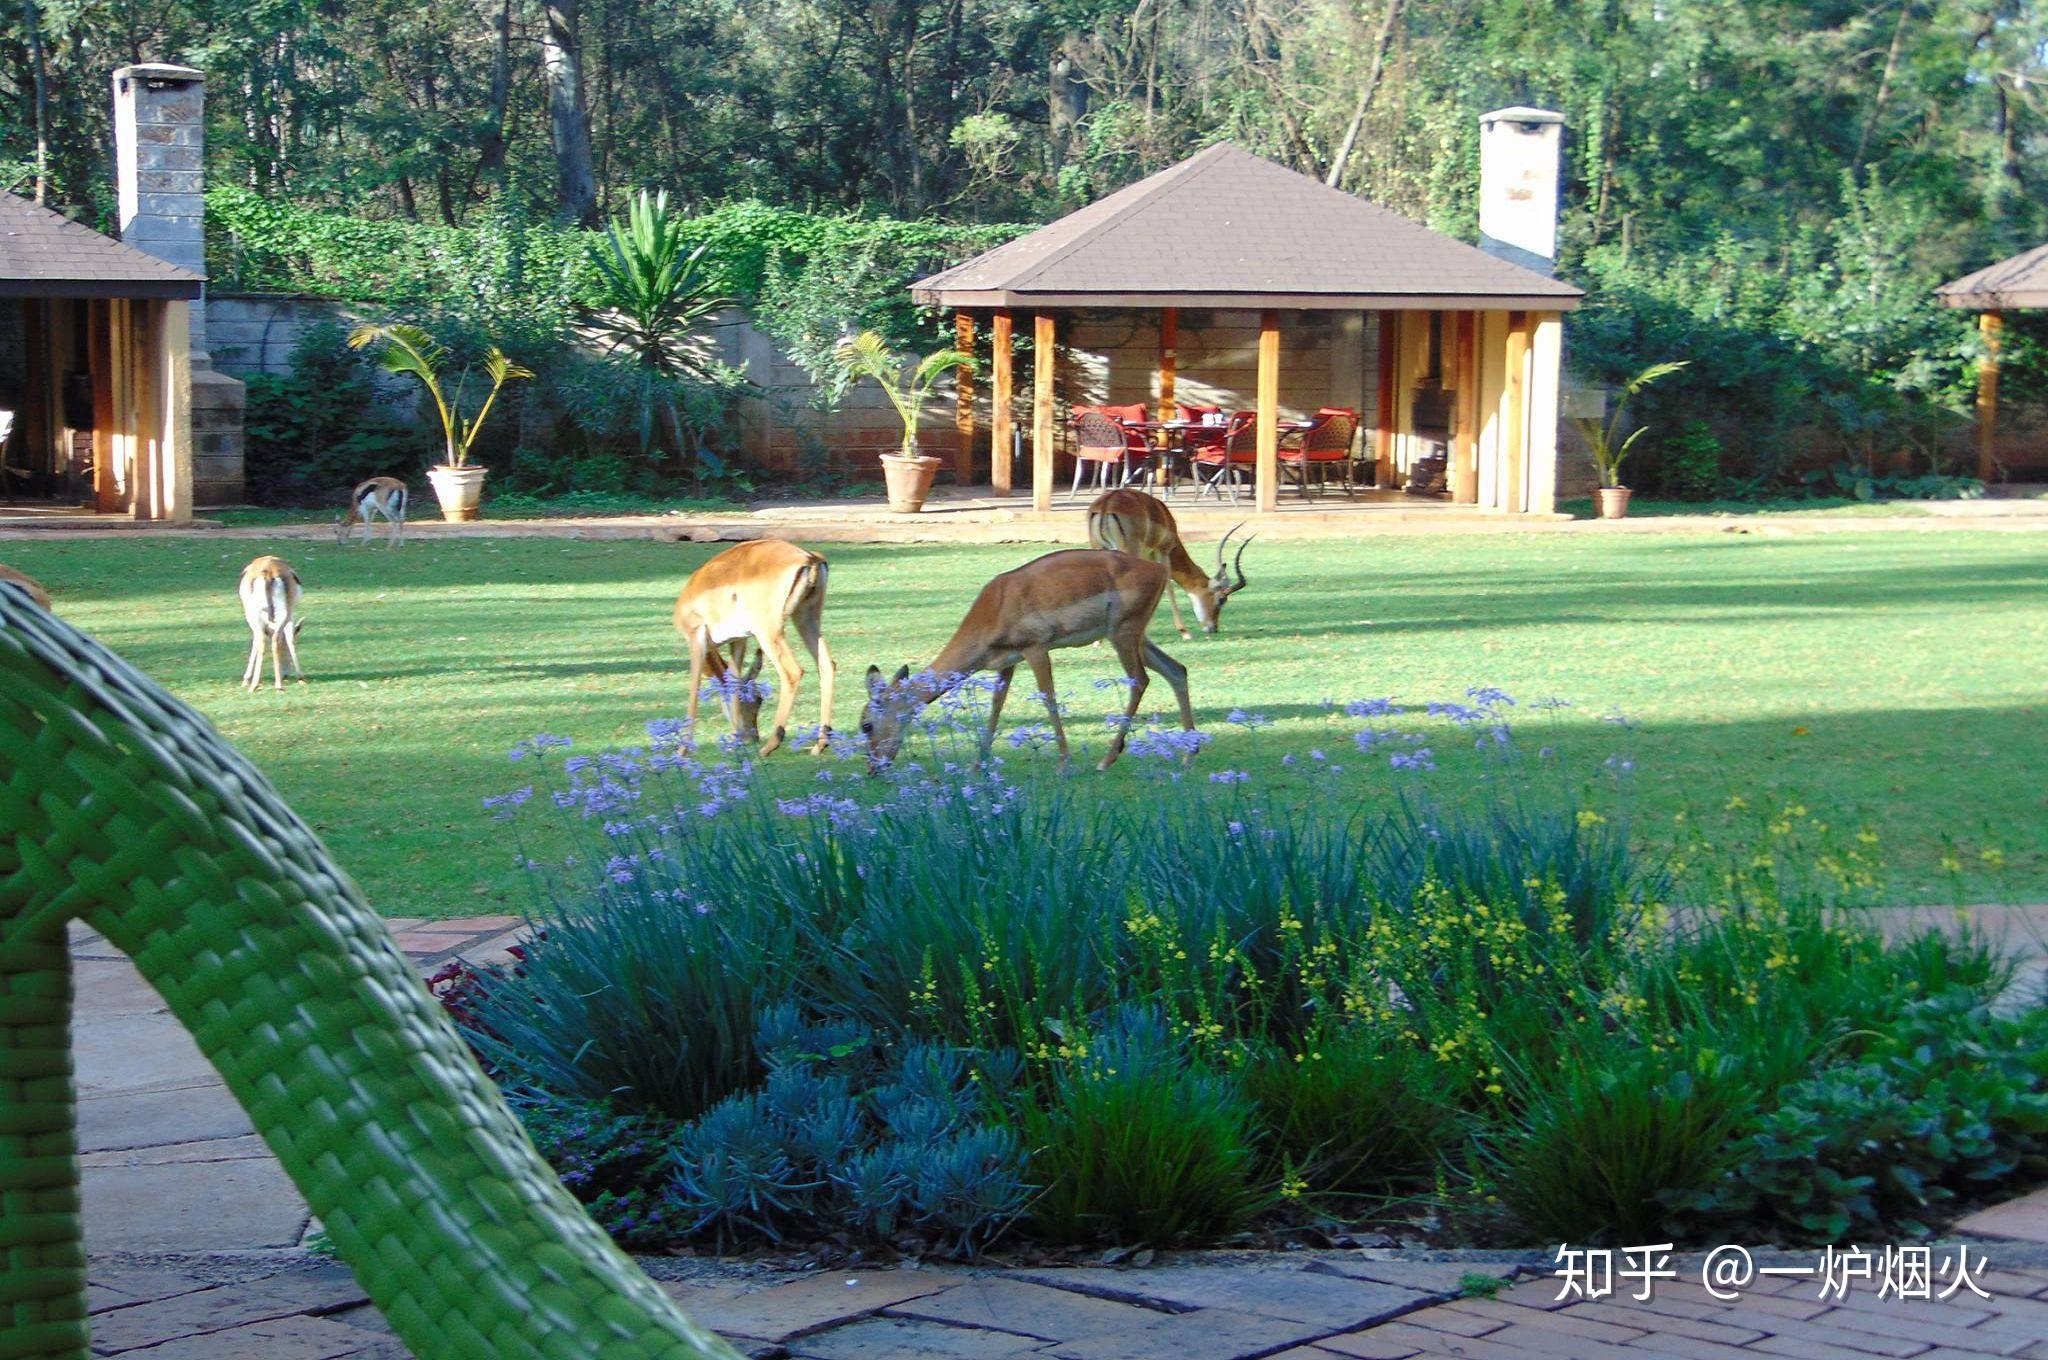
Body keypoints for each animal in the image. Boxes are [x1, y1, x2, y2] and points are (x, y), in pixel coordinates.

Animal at [238, 553, 305, 692]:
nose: (286, 674)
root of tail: (269, 571)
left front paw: (246, 680)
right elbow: (289, 639)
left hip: (256, 615)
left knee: (261, 639)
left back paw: (254, 685)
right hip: (283, 613)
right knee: (275, 639)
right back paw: (279, 685)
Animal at [671, 540, 831, 753]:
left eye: (759, 699)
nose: (752, 737)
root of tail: (809, 557)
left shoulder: (696, 639)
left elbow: (693, 690)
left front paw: (682, 751)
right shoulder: (739, 640)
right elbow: (733, 681)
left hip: (769, 631)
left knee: (793, 671)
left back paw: (771, 745)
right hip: (806, 618)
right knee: (827, 665)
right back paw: (819, 744)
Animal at [856, 544, 1196, 774]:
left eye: (866, 725)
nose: (873, 768)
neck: (993, 610)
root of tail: (1160, 571)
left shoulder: (1036, 648)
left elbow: (1048, 698)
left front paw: (1063, 763)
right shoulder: (1007, 662)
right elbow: (996, 706)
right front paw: (977, 764)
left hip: (1123, 632)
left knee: (1140, 680)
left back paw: (1106, 759)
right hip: (1135, 636)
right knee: (1176, 669)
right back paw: (1188, 754)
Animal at [1089, 489, 1245, 639]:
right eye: (1221, 599)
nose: (1213, 628)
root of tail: (1106, 503)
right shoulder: (1163, 552)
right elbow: (1168, 587)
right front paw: (1184, 632)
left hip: (1100, 549)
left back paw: (1098, 640)